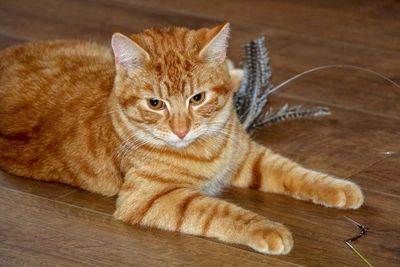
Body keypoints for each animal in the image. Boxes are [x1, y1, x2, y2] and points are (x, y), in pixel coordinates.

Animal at [0, 23, 362, 255]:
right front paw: (268, 229)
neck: (204, 149)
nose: (181, 129)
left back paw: (235, 72)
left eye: (197, 98)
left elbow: (296, 173)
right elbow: (220, 211)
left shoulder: (247, 156)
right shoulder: (152, 198)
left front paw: (341, 189)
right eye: (155, 104)